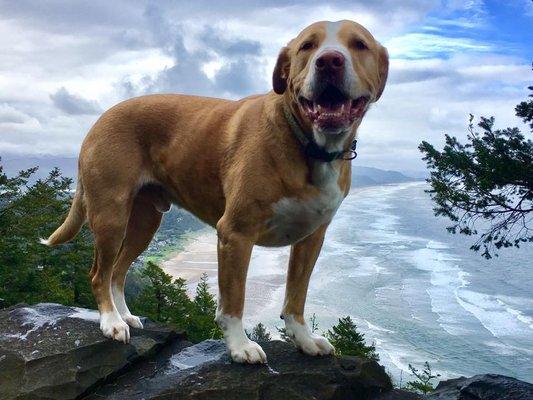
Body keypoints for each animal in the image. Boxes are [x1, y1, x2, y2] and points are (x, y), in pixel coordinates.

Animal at [42, 20, 386, 364]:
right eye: (307, 46)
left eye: (359, 44)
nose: (329, 61)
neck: (309, 146)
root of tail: (101, 118)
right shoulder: (236, 233)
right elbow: (234, 300)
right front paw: (239, 346)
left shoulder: (311, 240)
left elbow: (296, 296)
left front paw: (303, 338)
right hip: (110, 214)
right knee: (99, 273)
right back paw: (111, 321)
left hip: (145, 222)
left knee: (117, 271)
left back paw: (124, 314)